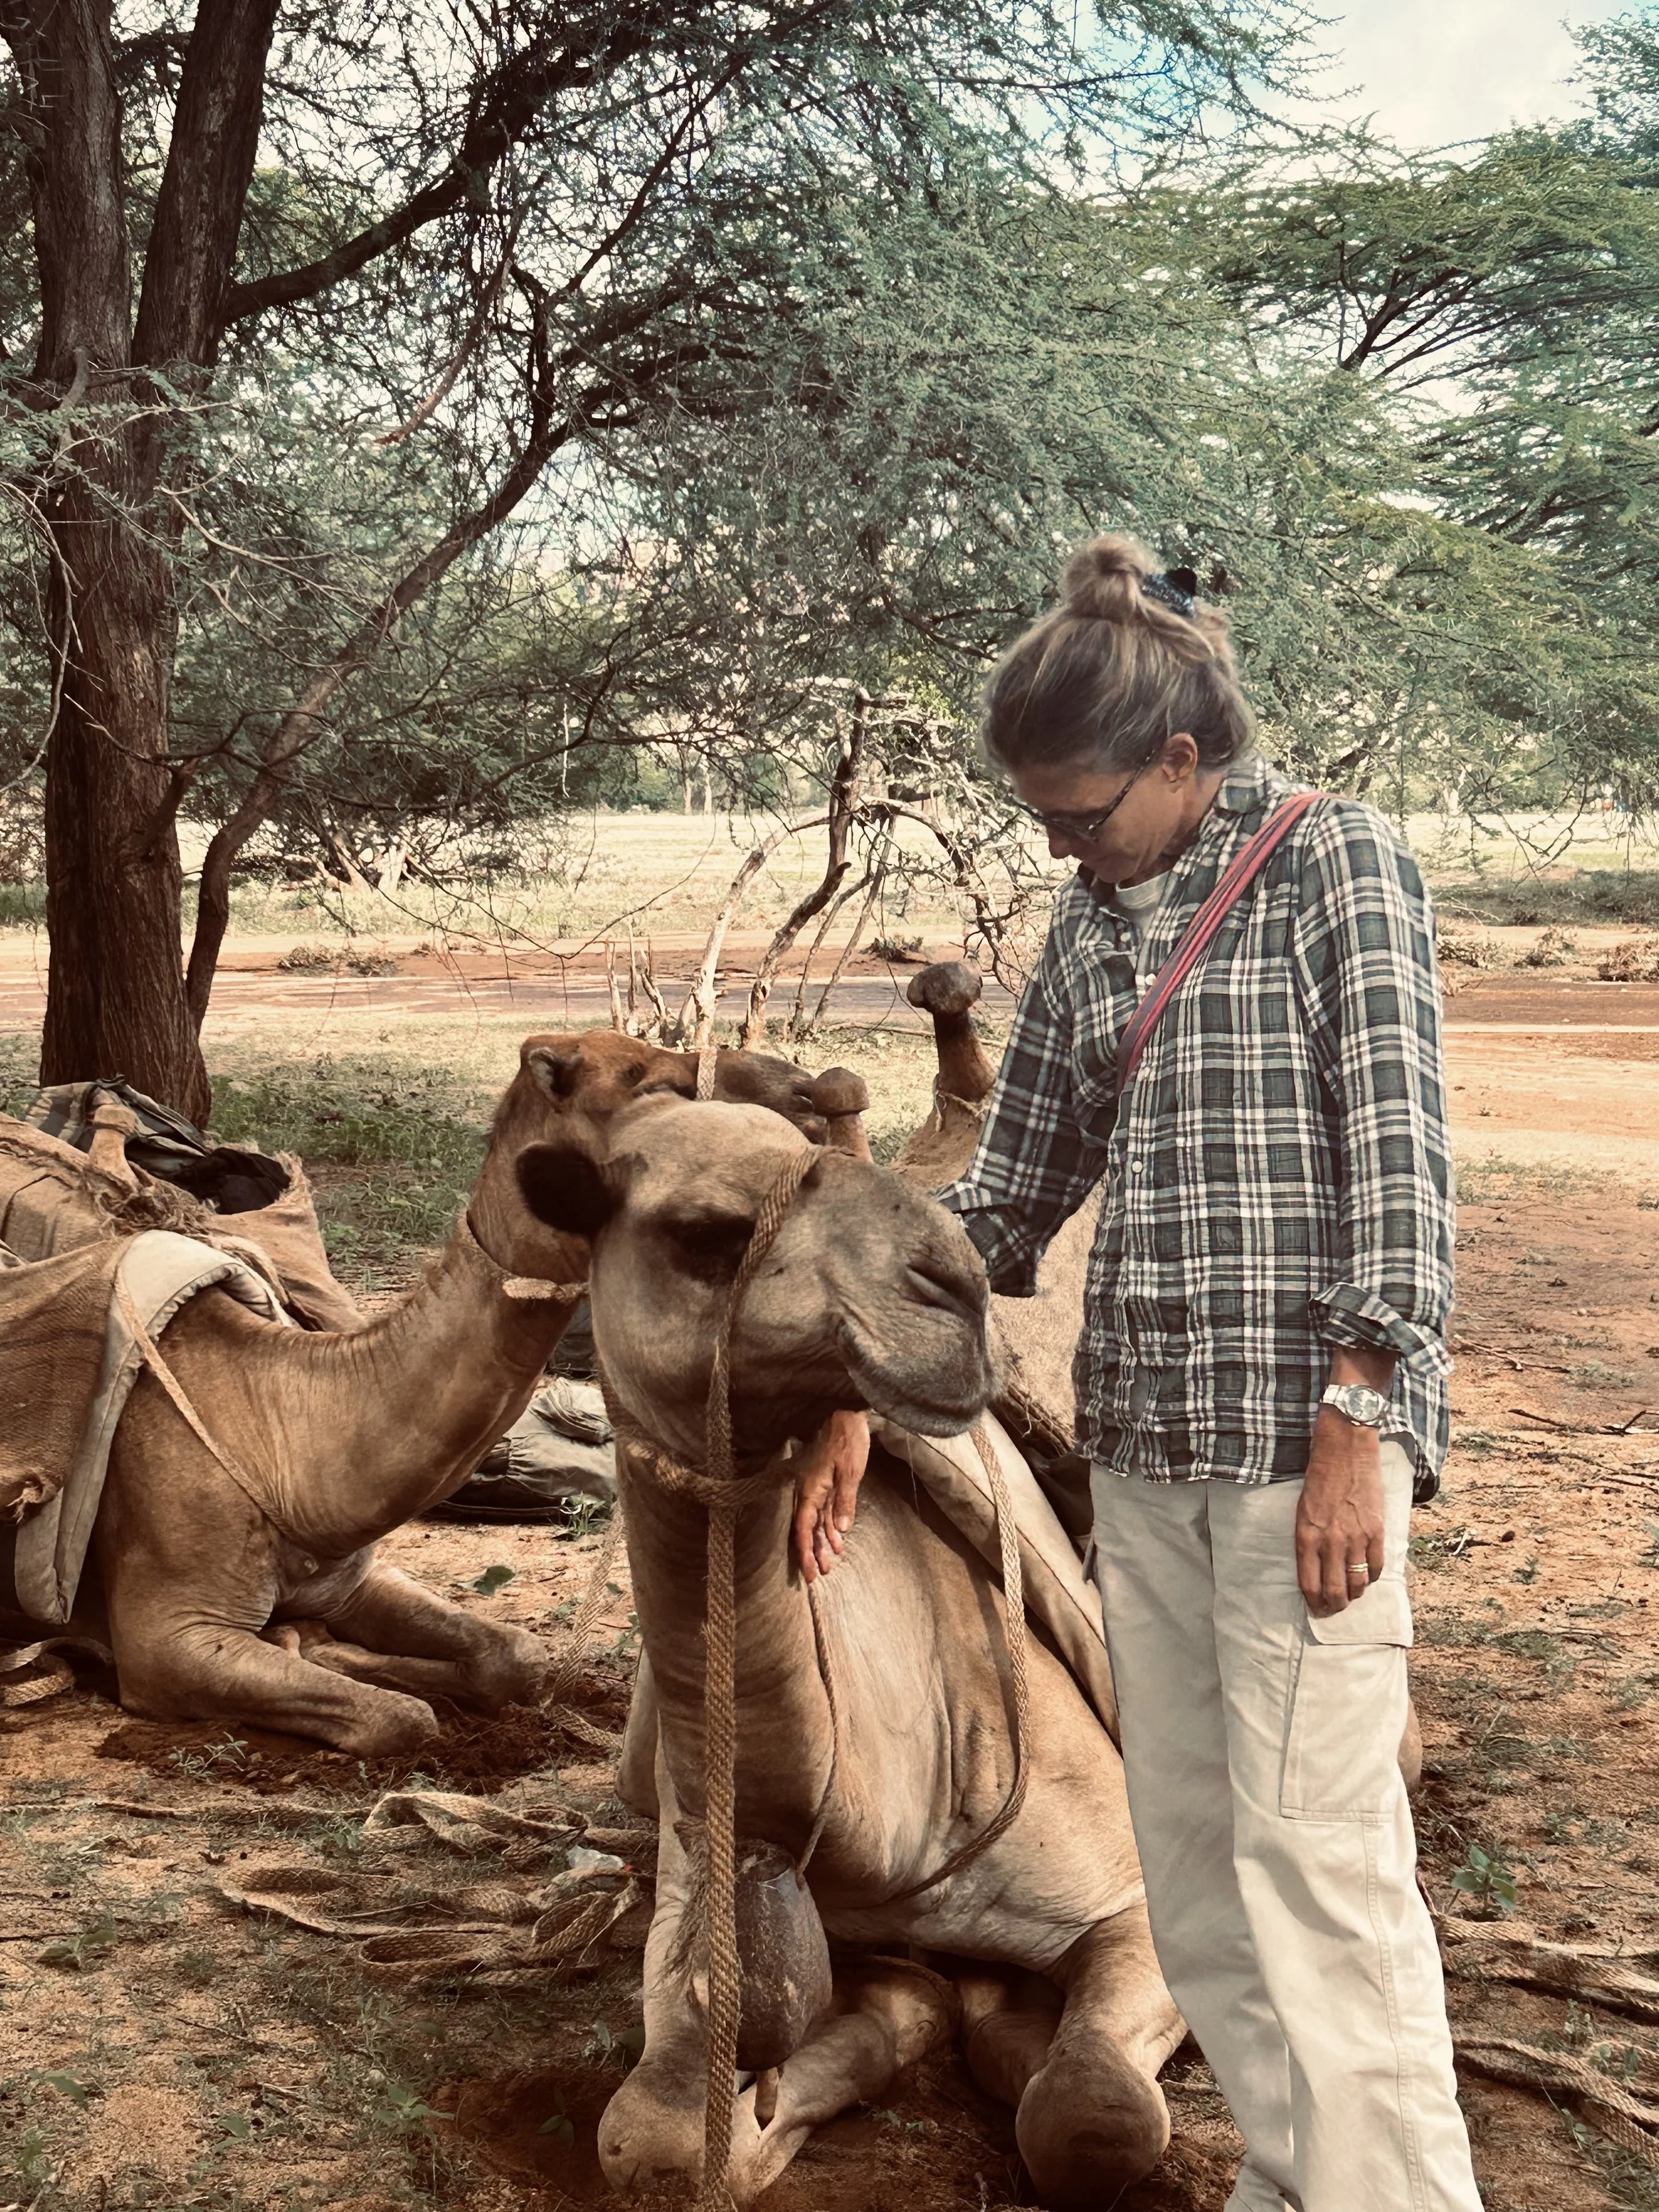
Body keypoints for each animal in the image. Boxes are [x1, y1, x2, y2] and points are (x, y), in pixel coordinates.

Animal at [0, 1035, 865, 1754]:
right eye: (647, 1079)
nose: (816, 1089)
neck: (273, 1429)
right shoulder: (171, 1639)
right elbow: (400, 1720)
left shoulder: (348, 1575)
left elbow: (514, 1657)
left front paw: (320, 1643)